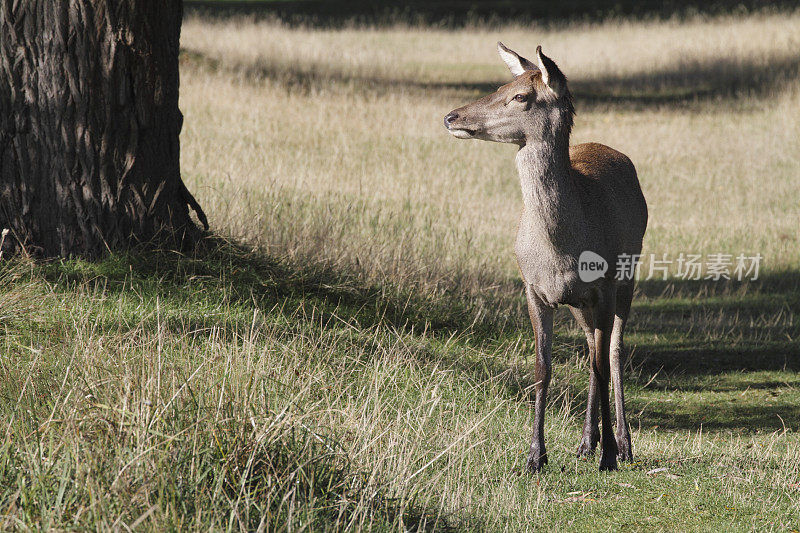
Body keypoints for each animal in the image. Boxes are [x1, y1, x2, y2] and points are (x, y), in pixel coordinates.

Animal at [446, 43, 648, 472]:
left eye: (522, 96)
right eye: (502, 85)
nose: (451, 116)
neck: (561, 250)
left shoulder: (605, 287)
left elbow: (604, 362)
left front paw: (610, 455)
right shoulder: (534, 289)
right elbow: (543, 368)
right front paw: (535, 455)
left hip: (629, 273)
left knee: (613, 350)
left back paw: (623, 444)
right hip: (579, 303)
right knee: (590, 347)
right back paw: (586, 442)